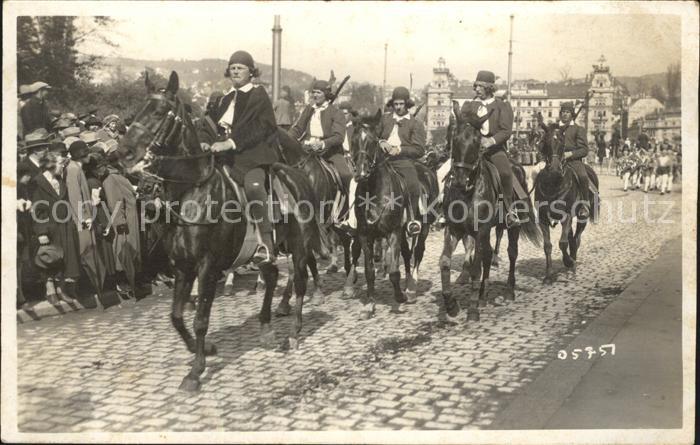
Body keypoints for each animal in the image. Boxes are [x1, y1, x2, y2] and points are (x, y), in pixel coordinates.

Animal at [117, 71, 328, 390]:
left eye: (159, 111)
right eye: (140, 108)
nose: (123, 152)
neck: (195, 191)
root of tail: (299, 173)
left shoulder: (207, 266)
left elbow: (200, 320)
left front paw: (195, 372)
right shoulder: (183, 266)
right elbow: (176, 316)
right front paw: (204, 349)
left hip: (300, 247)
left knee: (300, 283)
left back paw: (293, 333)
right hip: (269, 251)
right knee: (272, 276)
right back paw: (266, 328)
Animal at [344, 110, 438, 320]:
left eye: (373, 141)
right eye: (353, 140)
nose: (361, 173)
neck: (374, 191)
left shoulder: (392, 232)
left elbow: (394, 271)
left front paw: (400, 297)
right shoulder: (365, 235)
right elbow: (369, 271)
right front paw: (370, 305)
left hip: (423, 226)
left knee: (417, 252)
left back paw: (411, 288)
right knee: (406, 253)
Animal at [438, 102, 540, 320]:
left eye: (477, 141)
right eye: (455, 137)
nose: (460, 180)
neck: (468, 192)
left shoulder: (481, 230)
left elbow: (475, 268)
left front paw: (472, 309)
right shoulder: (454, 230)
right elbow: (445, 263)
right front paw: (451, 305)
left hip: (512, 228)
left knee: (511, 253)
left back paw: (508, 291)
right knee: (487, 255)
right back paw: (483, 295)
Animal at [532, 114, 600, 280]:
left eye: (562, 142)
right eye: (545, 141)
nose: (555, 169)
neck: (554, 183)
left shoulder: (567, 216)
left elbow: (562, 243)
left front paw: (569, 262)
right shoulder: (543, 218)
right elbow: (548, 245)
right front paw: (549, 273)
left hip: (582, 217)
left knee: (576, 238)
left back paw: (572, 263)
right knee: (570, 238)